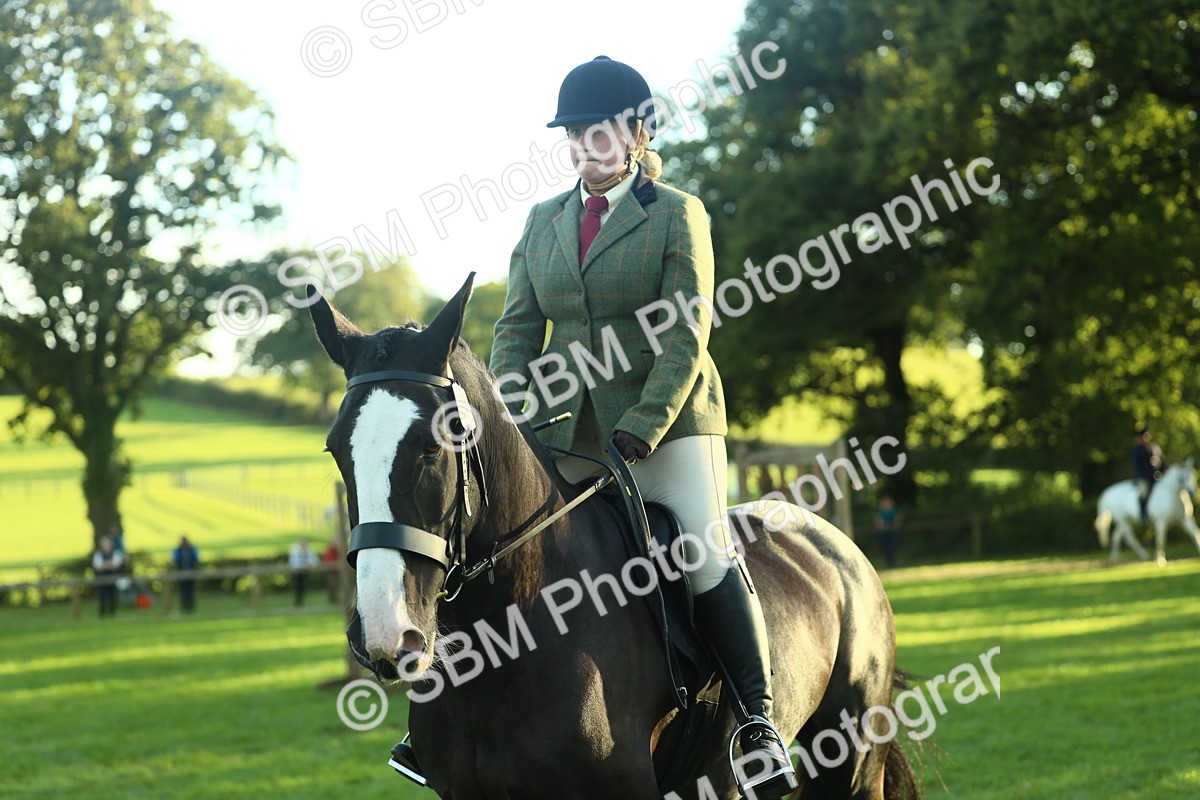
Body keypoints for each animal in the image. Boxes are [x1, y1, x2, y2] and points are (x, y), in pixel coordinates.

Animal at [309, 275, 920, 799]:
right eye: (336, 448)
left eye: (433, 446)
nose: (386, 635)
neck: (514, 631)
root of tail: (832, 543)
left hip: (852, 761)